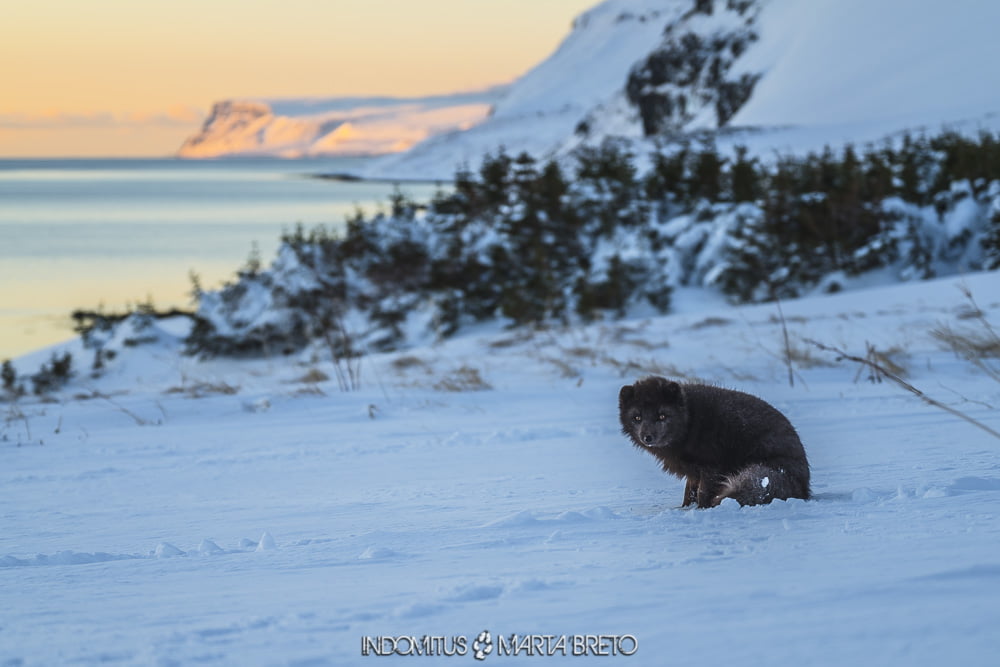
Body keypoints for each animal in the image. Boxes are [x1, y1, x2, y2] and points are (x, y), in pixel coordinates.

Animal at [620, 378, 808, 508]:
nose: (647, 437)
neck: (690, 423)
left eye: (662, 416)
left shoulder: (712, 467)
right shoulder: (693, 472)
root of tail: (805, 488)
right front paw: (684, 509)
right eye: (637, 417)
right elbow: (689, 493)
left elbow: (702, 493)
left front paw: (702, 509)